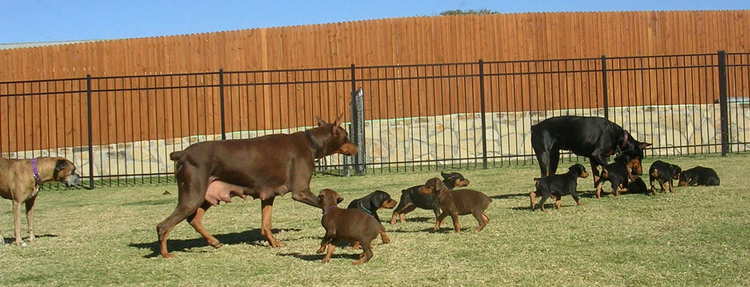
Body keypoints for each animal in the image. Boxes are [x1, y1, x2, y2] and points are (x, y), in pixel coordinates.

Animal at [156, 116, 358, 258]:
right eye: (347, 136)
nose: (356, 148)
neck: (311, 143)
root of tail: (182, 153)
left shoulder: (268, 195)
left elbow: (265, 224)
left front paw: (274, 243)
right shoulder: (301, 192)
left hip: (206, 194)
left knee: (194, 219)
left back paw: (214, 242)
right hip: (193, 195)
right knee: (163, 226)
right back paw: (166, 254)